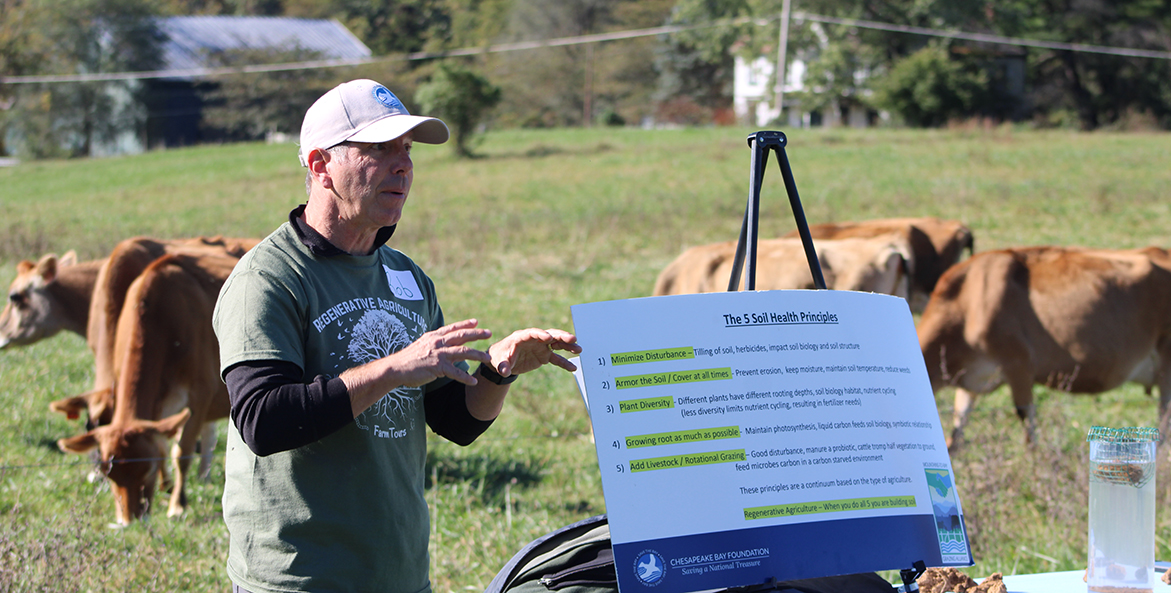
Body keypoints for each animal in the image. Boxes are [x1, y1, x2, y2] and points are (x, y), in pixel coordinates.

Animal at [58, 251, 236, 525]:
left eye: (147, 467)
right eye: (109, 473)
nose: (130, 518)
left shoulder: (200, 396)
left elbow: (181, 451)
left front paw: (177, 504)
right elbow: (161, 442)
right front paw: (167, 486)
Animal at [918, 246, 1171, 450]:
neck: (966, 304)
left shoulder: (1018, 365)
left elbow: (1027, 422)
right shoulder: (972, 380)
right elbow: (956, 432)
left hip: (1165, 367)